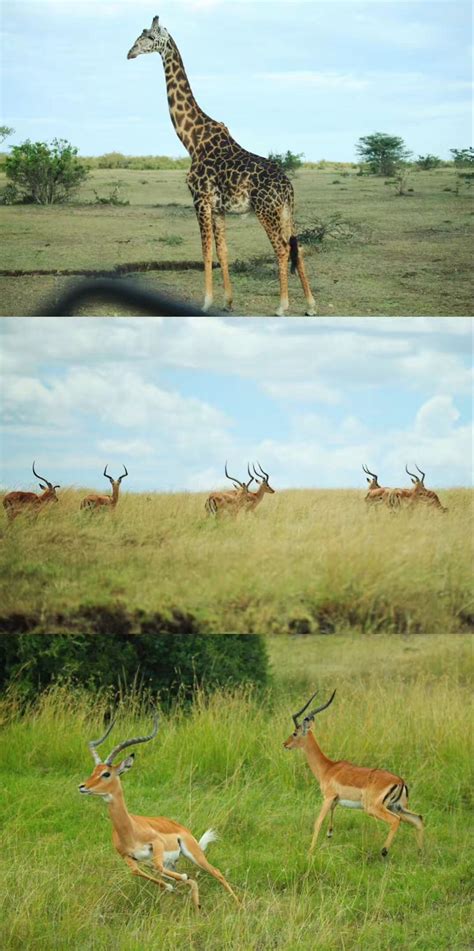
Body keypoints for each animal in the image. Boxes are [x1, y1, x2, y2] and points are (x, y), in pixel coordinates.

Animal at [128, 14, 316, 318]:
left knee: (282, 248)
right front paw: (227, 301)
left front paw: (205, 302)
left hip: (266, 211)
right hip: (287, 212)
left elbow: (205, 251)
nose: (130, 52)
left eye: (149, 37)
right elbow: (223, 250)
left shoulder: (200, 200)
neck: (192, 139)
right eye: (139, 36)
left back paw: (282, 305)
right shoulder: (219, 208)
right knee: (297, 247)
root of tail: (288, 187)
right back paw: (310, 305)